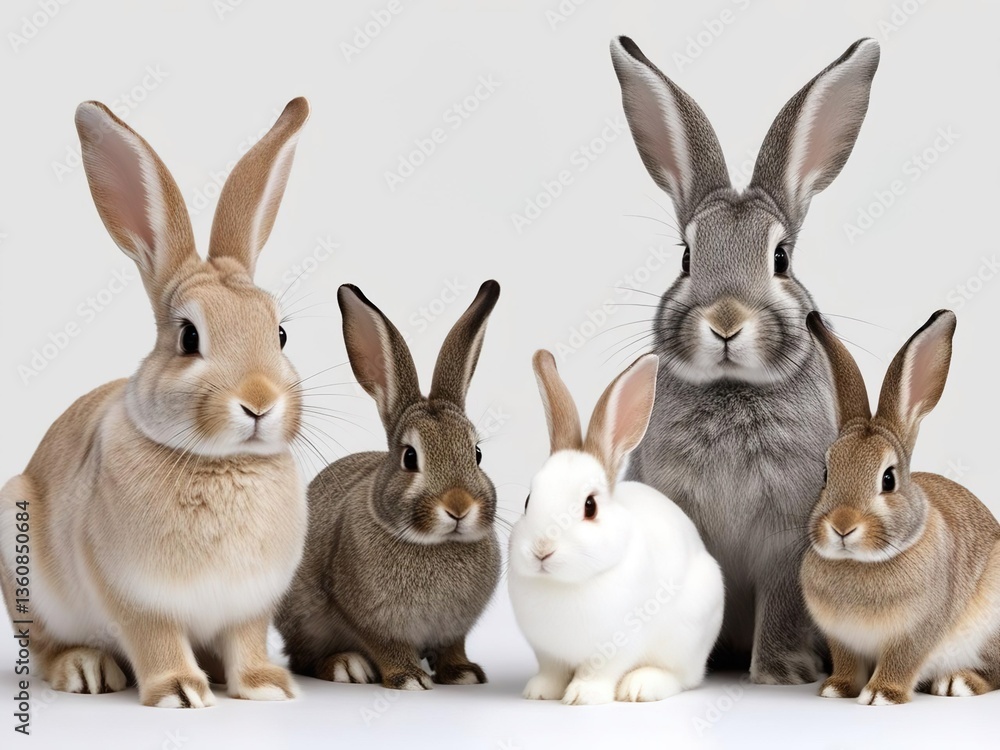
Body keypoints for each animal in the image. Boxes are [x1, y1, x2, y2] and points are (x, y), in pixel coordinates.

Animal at [0, 97, 311, 708]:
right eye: (189, 337)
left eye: (280, 334)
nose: (259, 402)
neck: (222, 463)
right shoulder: (136, 599)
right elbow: (155, 639)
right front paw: (180, 693)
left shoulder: (250, 607)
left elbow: (247, 641)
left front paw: (266, 687)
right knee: (44, 647)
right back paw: (85, 669)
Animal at [276, 281, 502, 690]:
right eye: (410, 457)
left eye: (476, 454)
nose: (459, 507)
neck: (434, 544)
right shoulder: (368, 620)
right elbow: (385, 646)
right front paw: (410, 678)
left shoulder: (455, 630)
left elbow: (453, 647)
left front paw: (463, 674)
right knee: (302, 658)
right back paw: (345, 666)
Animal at [508, 350, 724, 705]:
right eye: (528, 500)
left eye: (590, 506)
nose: (541, 550)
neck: (565, 584)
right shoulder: (547, 652)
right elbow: (551, 672)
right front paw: (539, 692)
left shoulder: (617, 645)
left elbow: (598, 672)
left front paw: (582, 696)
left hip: (687, 637)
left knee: (683, 677)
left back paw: (640, 687)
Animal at [609, 35, 880, 684]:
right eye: (686, 257)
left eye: (780, 258)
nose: (726, 322)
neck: (734, 387)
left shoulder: (790, 537)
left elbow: (784, 599)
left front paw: (780, 672)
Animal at [802, 310, 1000, 705]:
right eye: (826, 473)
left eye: (889, 479)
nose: (842, 526)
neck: (860, 563)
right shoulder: (841, 638)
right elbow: (847, 663)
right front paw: (836, 689)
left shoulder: (916, 633)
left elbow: (901, 661)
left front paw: (881, 695)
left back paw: (957, 683)